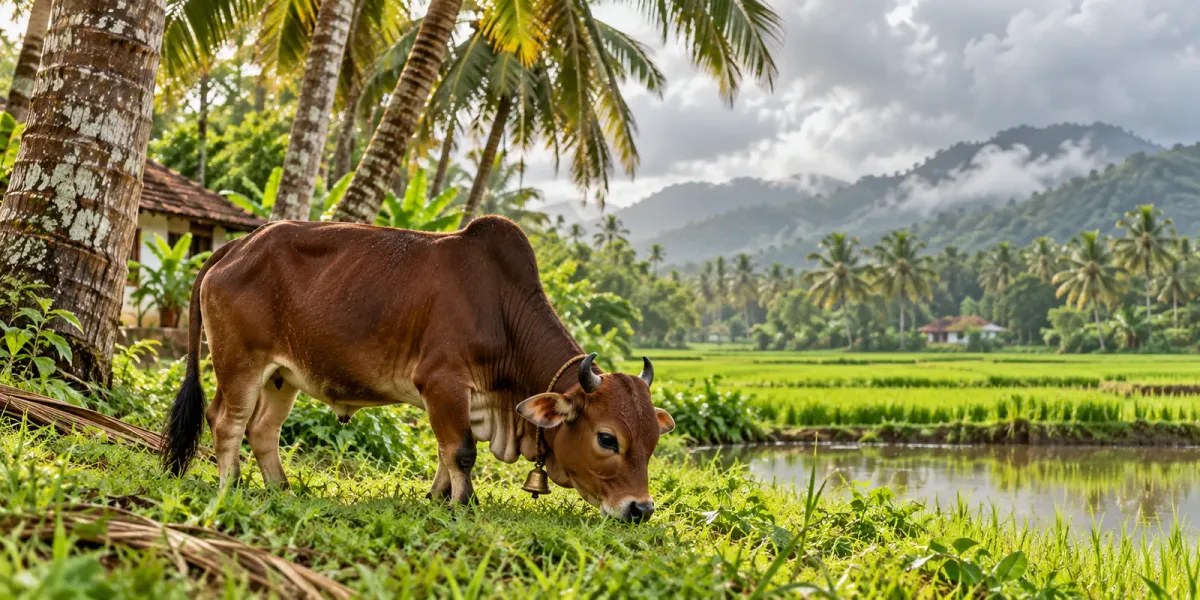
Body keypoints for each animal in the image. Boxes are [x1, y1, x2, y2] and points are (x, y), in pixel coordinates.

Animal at [161, 216, 675, 523]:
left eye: (652, 440)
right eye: (607, 439)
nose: (640, 509)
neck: (501, 307)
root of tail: (237, 245)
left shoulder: (458, 397)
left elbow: (446, 453)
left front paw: (437, 498)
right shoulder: (442, 382)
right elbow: (462, 451)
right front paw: (466, 504)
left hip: (281, 376)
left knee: (263, 430)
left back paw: (281, 489)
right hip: (240, 363)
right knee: (226, 421)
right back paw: (230, 488)